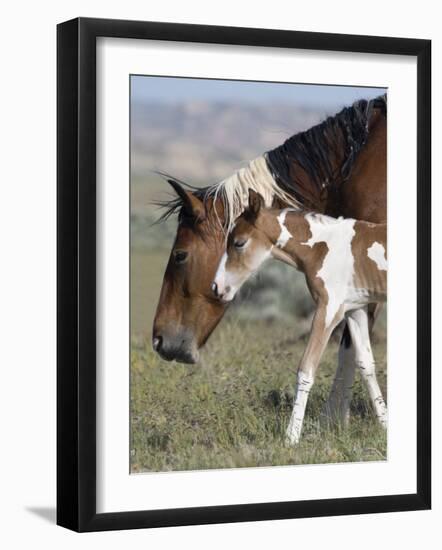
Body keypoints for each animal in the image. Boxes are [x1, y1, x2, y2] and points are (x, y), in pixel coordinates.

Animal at [212, 192, 386, 446]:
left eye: (239, 243)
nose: (217, 287)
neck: (324, 247)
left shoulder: (328, 309)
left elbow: (306, 369)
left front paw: (291, 437)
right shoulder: (355, 310)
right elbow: (366, 365)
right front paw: (386, 427)